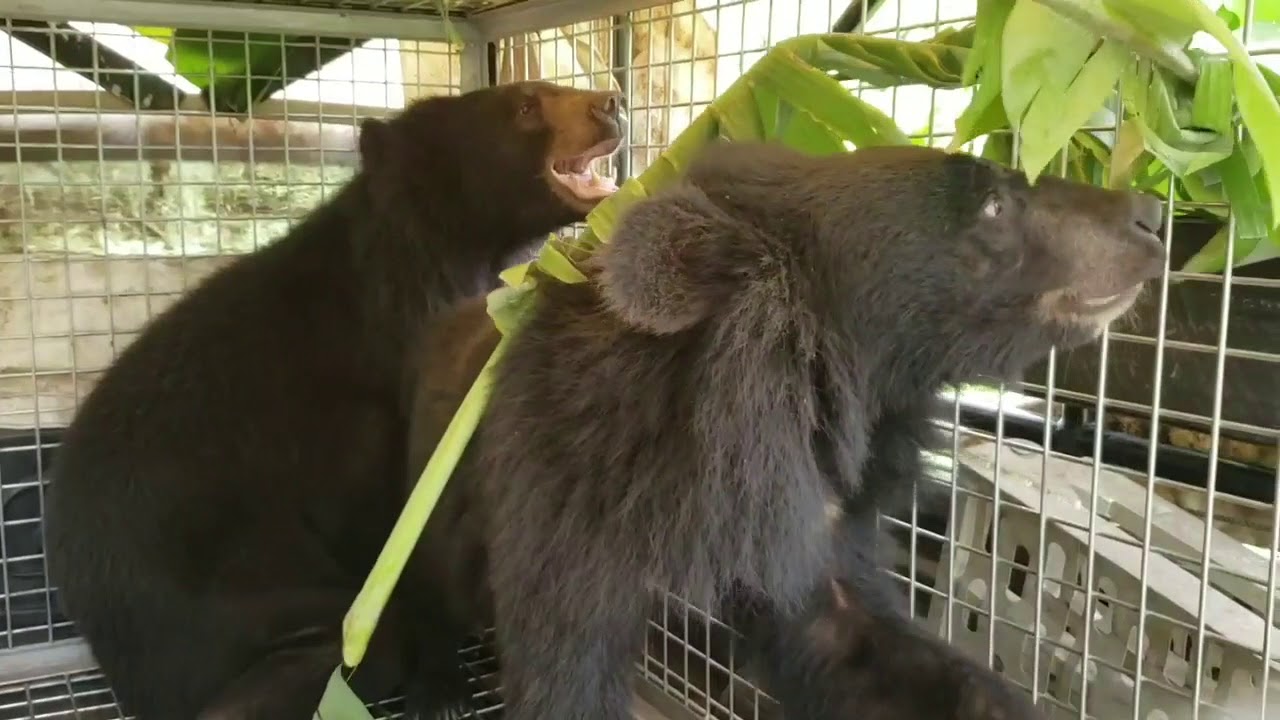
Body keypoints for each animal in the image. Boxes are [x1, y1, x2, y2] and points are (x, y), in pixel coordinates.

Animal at [42, 79, 624, 720]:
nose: (612, 103)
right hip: (243, 595)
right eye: (524, 107)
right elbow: (410, 523)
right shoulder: (378, 404)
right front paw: (443, 686)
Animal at [402, 139, 1167, 719]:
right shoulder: (569, 492)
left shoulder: (812, 510)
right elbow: (564, 663)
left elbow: (856, 637)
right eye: (994, 204)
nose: (1151, 214)